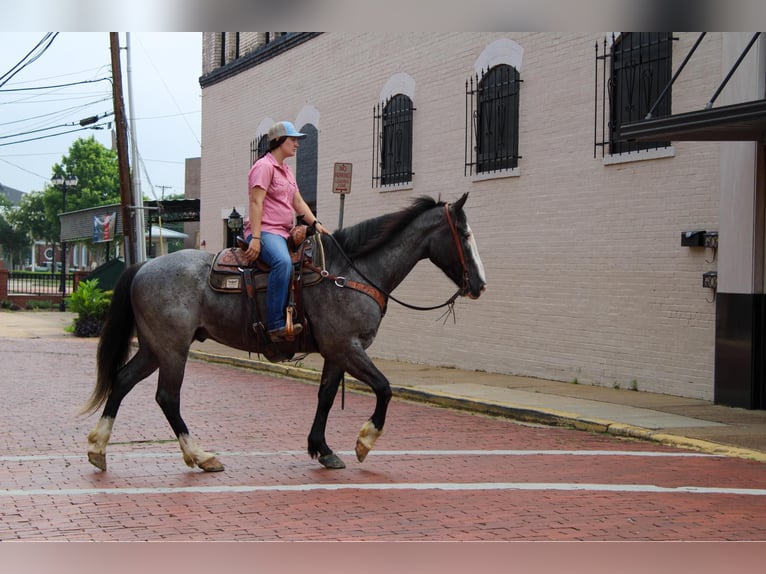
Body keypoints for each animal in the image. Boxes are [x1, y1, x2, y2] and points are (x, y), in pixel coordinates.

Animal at [82, 194, 486, 472]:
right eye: (465, 234)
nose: (480, 285)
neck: (349, 274)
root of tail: (143, 265)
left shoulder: (336, 352)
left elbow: (326, 397)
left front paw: (323, 449)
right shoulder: (348, 347)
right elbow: (385, 388)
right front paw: (364, 442)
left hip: (154, 348)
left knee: (122, 381)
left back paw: (99, 449)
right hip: (172, 349)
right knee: (167, 397)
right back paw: (201, 455)